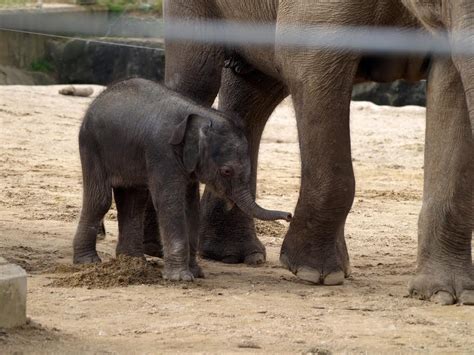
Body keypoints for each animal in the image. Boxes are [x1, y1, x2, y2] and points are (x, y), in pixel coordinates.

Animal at [73, 79, 292, 282]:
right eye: (227, 171)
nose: (289, 215)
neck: (200, 116)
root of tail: (100, 96)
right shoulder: (162, 151)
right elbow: (171, 203)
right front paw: (180, 278)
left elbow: (191, 207)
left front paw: (196, 273)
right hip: (91, 145)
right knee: (100, 200)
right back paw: (89, 262)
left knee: (134, 201)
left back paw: (134, 263)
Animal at [161, 0, 472, 306]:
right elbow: (310, 59)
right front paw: (315, 273)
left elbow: (452, 87)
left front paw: (447, 295)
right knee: (198, 77)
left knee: (256, 87)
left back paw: (232, 255)